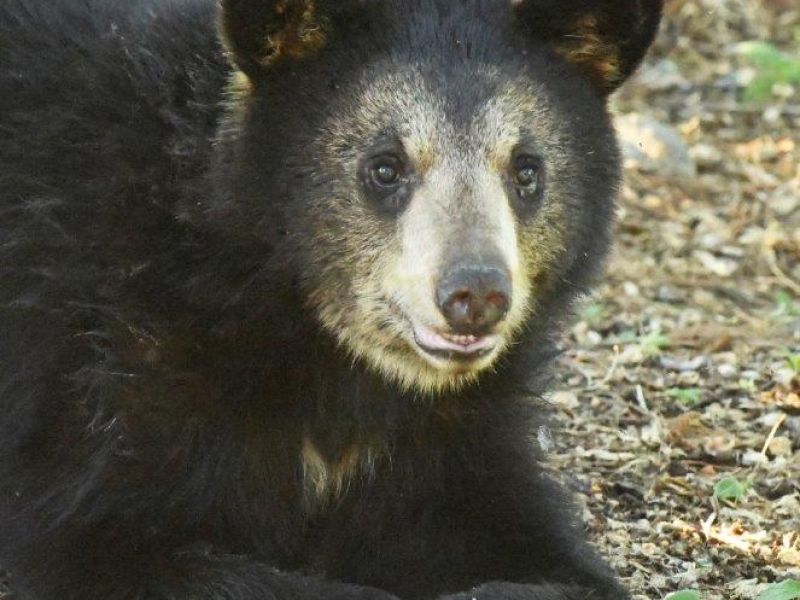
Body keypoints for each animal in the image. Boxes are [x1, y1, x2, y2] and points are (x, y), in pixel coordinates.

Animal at [0, 1, 662, 599]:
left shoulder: (455, 429)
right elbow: (96, 540)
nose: (475, 294)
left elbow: (539, 552)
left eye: (527, 171)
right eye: (385, 167)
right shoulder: (104, 360)